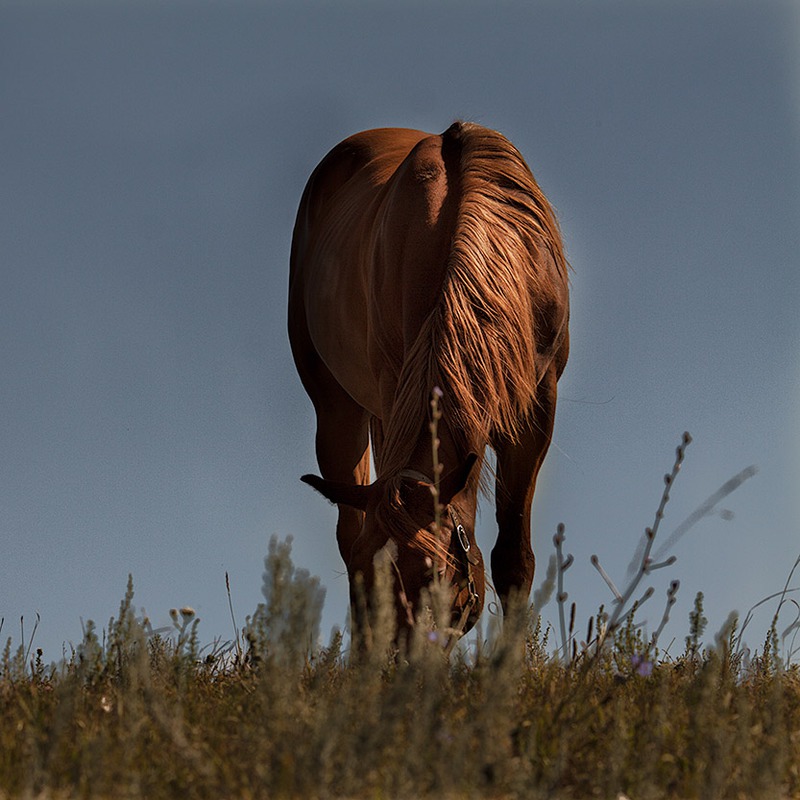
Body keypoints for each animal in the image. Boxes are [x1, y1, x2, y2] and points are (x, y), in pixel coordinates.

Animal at [288, 120, 568, 644]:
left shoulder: (537, 407)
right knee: (348, 523)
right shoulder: (391, 392)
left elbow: (513, 559)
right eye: (368, 581)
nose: (400, 656)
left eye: (437, 574)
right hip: (337, 407)